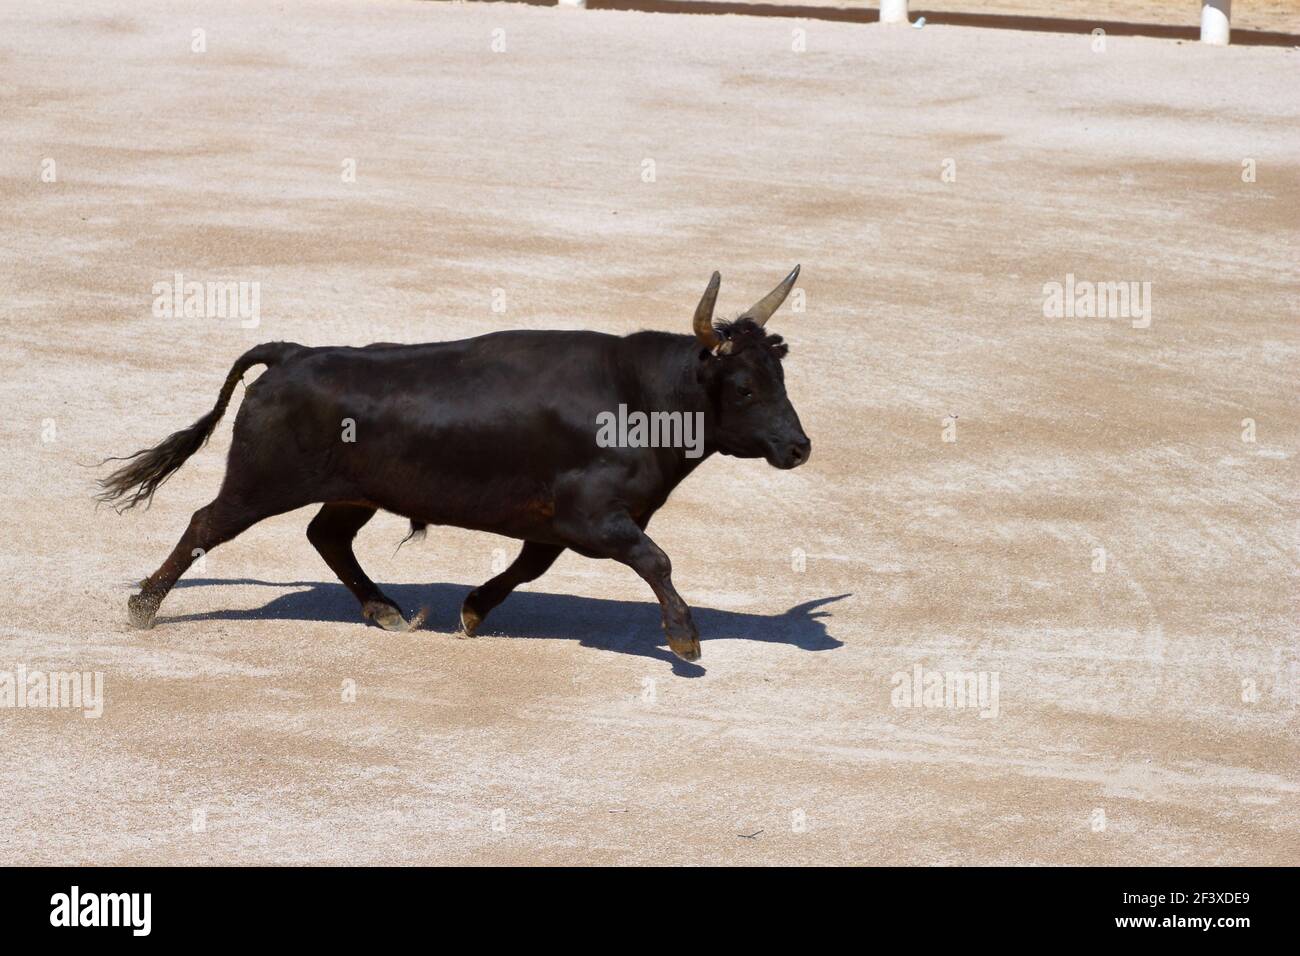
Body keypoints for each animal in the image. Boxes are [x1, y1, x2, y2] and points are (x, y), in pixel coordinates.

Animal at [101, 265, 811, 660]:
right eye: (743, 388)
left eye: (780, 377)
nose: (799, 447)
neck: (640, 394)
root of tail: (294, 353)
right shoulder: (594, 517)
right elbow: (655, 560)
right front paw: (685, 637)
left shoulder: (557, 522)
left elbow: (529, 567)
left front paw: (472, 610)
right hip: (260, 482)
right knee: (206, 524)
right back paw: (143, 607)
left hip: (353, 491)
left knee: (326, 535)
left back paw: (387, 611)